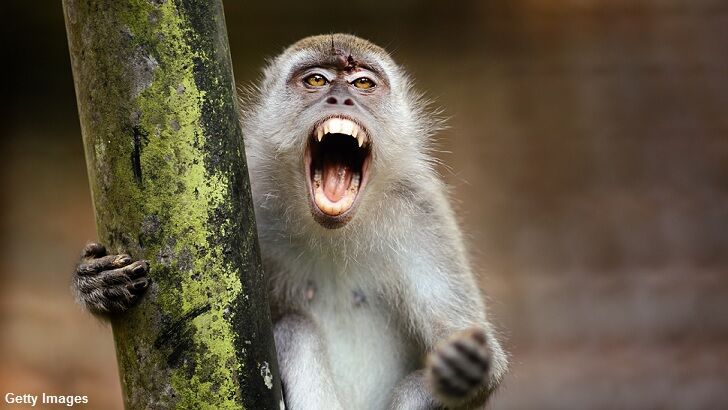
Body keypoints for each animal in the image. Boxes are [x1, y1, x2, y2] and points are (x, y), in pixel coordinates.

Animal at [73, 34, 508, 409]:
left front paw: (467, 367)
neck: (332, 232)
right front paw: (96, 284)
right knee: (297, 330)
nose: (341, 97)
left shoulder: (423, 216)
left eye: (363, 83)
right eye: (316, 80)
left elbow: (481, 360)